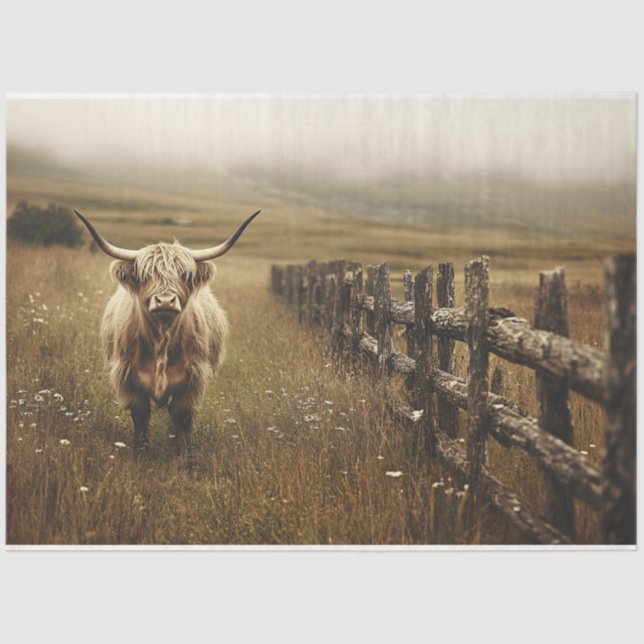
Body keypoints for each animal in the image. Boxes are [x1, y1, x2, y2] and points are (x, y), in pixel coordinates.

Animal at [74, 209, 261, 460]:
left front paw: (184, 457)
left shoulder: (193, 378)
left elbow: (182, 416)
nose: (165, 300)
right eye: (145, 275)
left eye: (183, 274)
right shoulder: (128, 378)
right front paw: (140, 454)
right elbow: (140, 416)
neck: (161, 340)